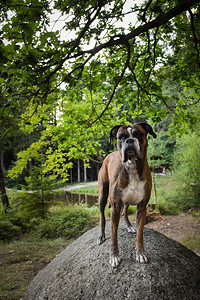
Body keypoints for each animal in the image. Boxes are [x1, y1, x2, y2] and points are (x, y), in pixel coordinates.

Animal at [97, 122, 156, 268]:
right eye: (121, 137)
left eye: (138, 135)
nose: (129, 140)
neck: (132, 166)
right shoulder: (115, 206)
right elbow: (113, 235)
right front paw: (114, 256)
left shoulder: (142, 207)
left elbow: (140, 234)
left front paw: (140, 253)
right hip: (102, 195)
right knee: (102, 216)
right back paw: (101, 235)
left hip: (127, 201)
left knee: (124, 212)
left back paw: (129, 227)